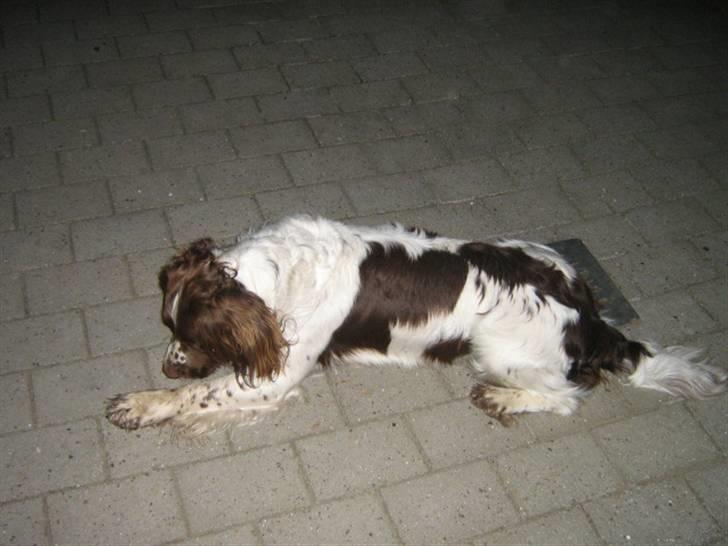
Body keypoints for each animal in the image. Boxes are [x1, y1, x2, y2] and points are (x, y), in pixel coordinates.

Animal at [105, 215, 724, 432]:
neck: (275, 271)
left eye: (192, 336)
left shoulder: (275, 374)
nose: (168, 365)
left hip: (499, 350)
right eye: (169, 329)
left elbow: (198, 395)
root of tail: (589, 316)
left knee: (568, 396)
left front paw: (142, 402)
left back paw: (504, 398)